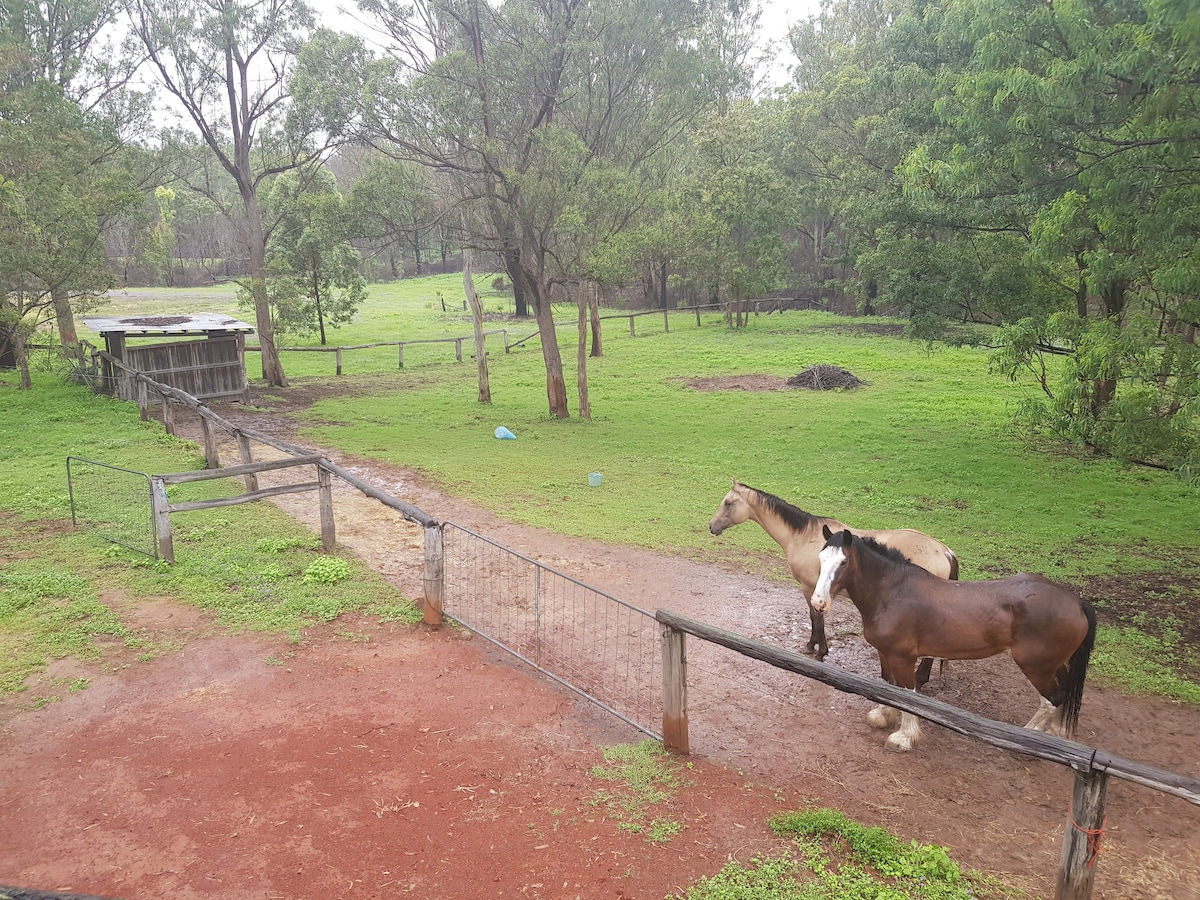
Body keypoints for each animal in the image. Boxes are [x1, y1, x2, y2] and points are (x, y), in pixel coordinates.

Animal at [806, 528, 1099, 753]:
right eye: (821, 558)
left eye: (843, 562)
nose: (818, 603)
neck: (894, 592)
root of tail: (1076, 602)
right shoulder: (886, 654)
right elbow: (889, 686)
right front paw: (884, 716)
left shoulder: (903, 657)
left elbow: (907, 694)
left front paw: (904, 738)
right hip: (1052, 664)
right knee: (1064, 691)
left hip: (1036, 667)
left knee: (1052, 699)